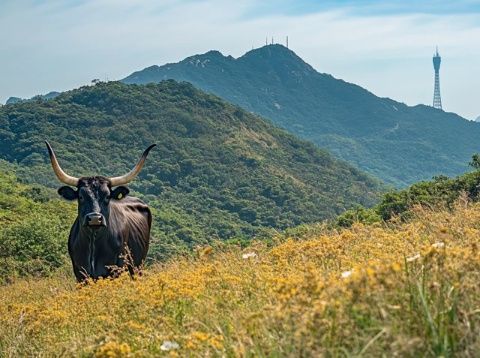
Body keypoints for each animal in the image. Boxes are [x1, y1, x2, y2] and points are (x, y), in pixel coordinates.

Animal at [45, 141, 156, 282]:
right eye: (81, 196)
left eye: (108, 196)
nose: (94, 218)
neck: (93, 240)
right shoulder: (80, 273)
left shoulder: (114, 270)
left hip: (138, 265)